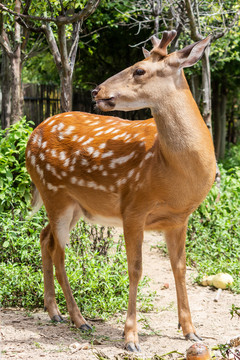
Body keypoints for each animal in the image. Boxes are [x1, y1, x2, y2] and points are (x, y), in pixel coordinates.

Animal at [25, 31, 216, 352]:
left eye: (139, 70)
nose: (95, 91)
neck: (173, 172)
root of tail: (31, 136)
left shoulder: (179, 218)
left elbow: (179, 268)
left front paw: (191, 331)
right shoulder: (133, 207)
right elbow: (136, 269)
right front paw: (131, 338)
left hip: (74, 205)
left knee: (44, 236)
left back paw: (54, 312)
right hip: (54, 192)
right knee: (58, 251)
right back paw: (79, 319)